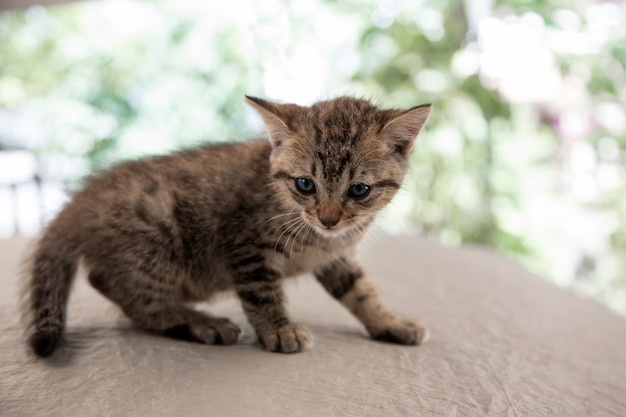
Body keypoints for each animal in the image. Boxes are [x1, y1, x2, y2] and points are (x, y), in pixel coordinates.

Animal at [26, 96, 432, 356]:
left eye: (359, 189)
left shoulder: (336, 256)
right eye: (305, 184)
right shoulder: (243, 243)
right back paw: (200, 322)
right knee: (130, 295)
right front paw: (279, 330)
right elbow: (262, 293)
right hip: (157, 237)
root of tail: (81, 201)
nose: (328, 218)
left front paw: (390, 322)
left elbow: (361, 291)